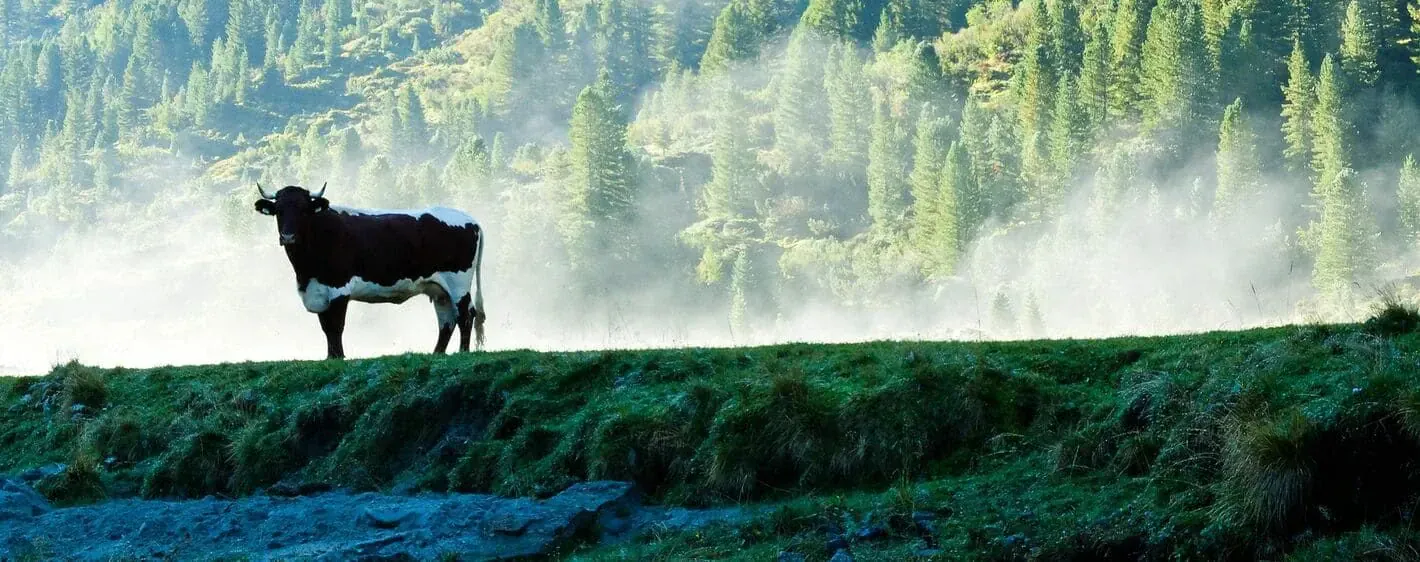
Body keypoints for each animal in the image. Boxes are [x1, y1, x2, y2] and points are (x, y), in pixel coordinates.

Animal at [253, 183, 486, 359]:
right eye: (279, 211)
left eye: (303, 210)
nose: (288, 236)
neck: (307, 272)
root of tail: (472, 220)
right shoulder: (318, 290)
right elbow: (326, 326)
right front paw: (330, 357)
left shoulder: (339, 288)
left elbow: (336, 325)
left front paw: (339, 357)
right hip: (440, 290)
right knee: (447, 321)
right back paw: (437, 353)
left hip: (459, 283)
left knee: (466, 315)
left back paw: (463, 352)